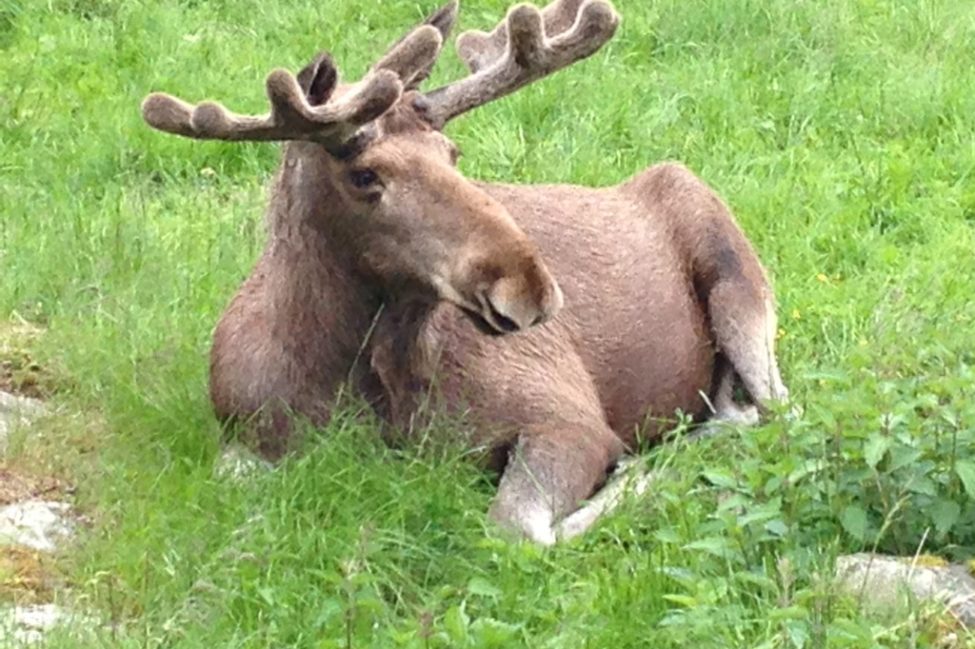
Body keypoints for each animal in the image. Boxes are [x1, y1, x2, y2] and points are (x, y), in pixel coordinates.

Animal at [140, 0, 788, 545]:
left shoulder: (572, 419)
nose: (531, 286)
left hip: (738, 283)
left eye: (452, 155)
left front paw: (640, 473)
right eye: (365, 175)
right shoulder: (239, 436)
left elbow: (515, 527)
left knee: (776, 411)